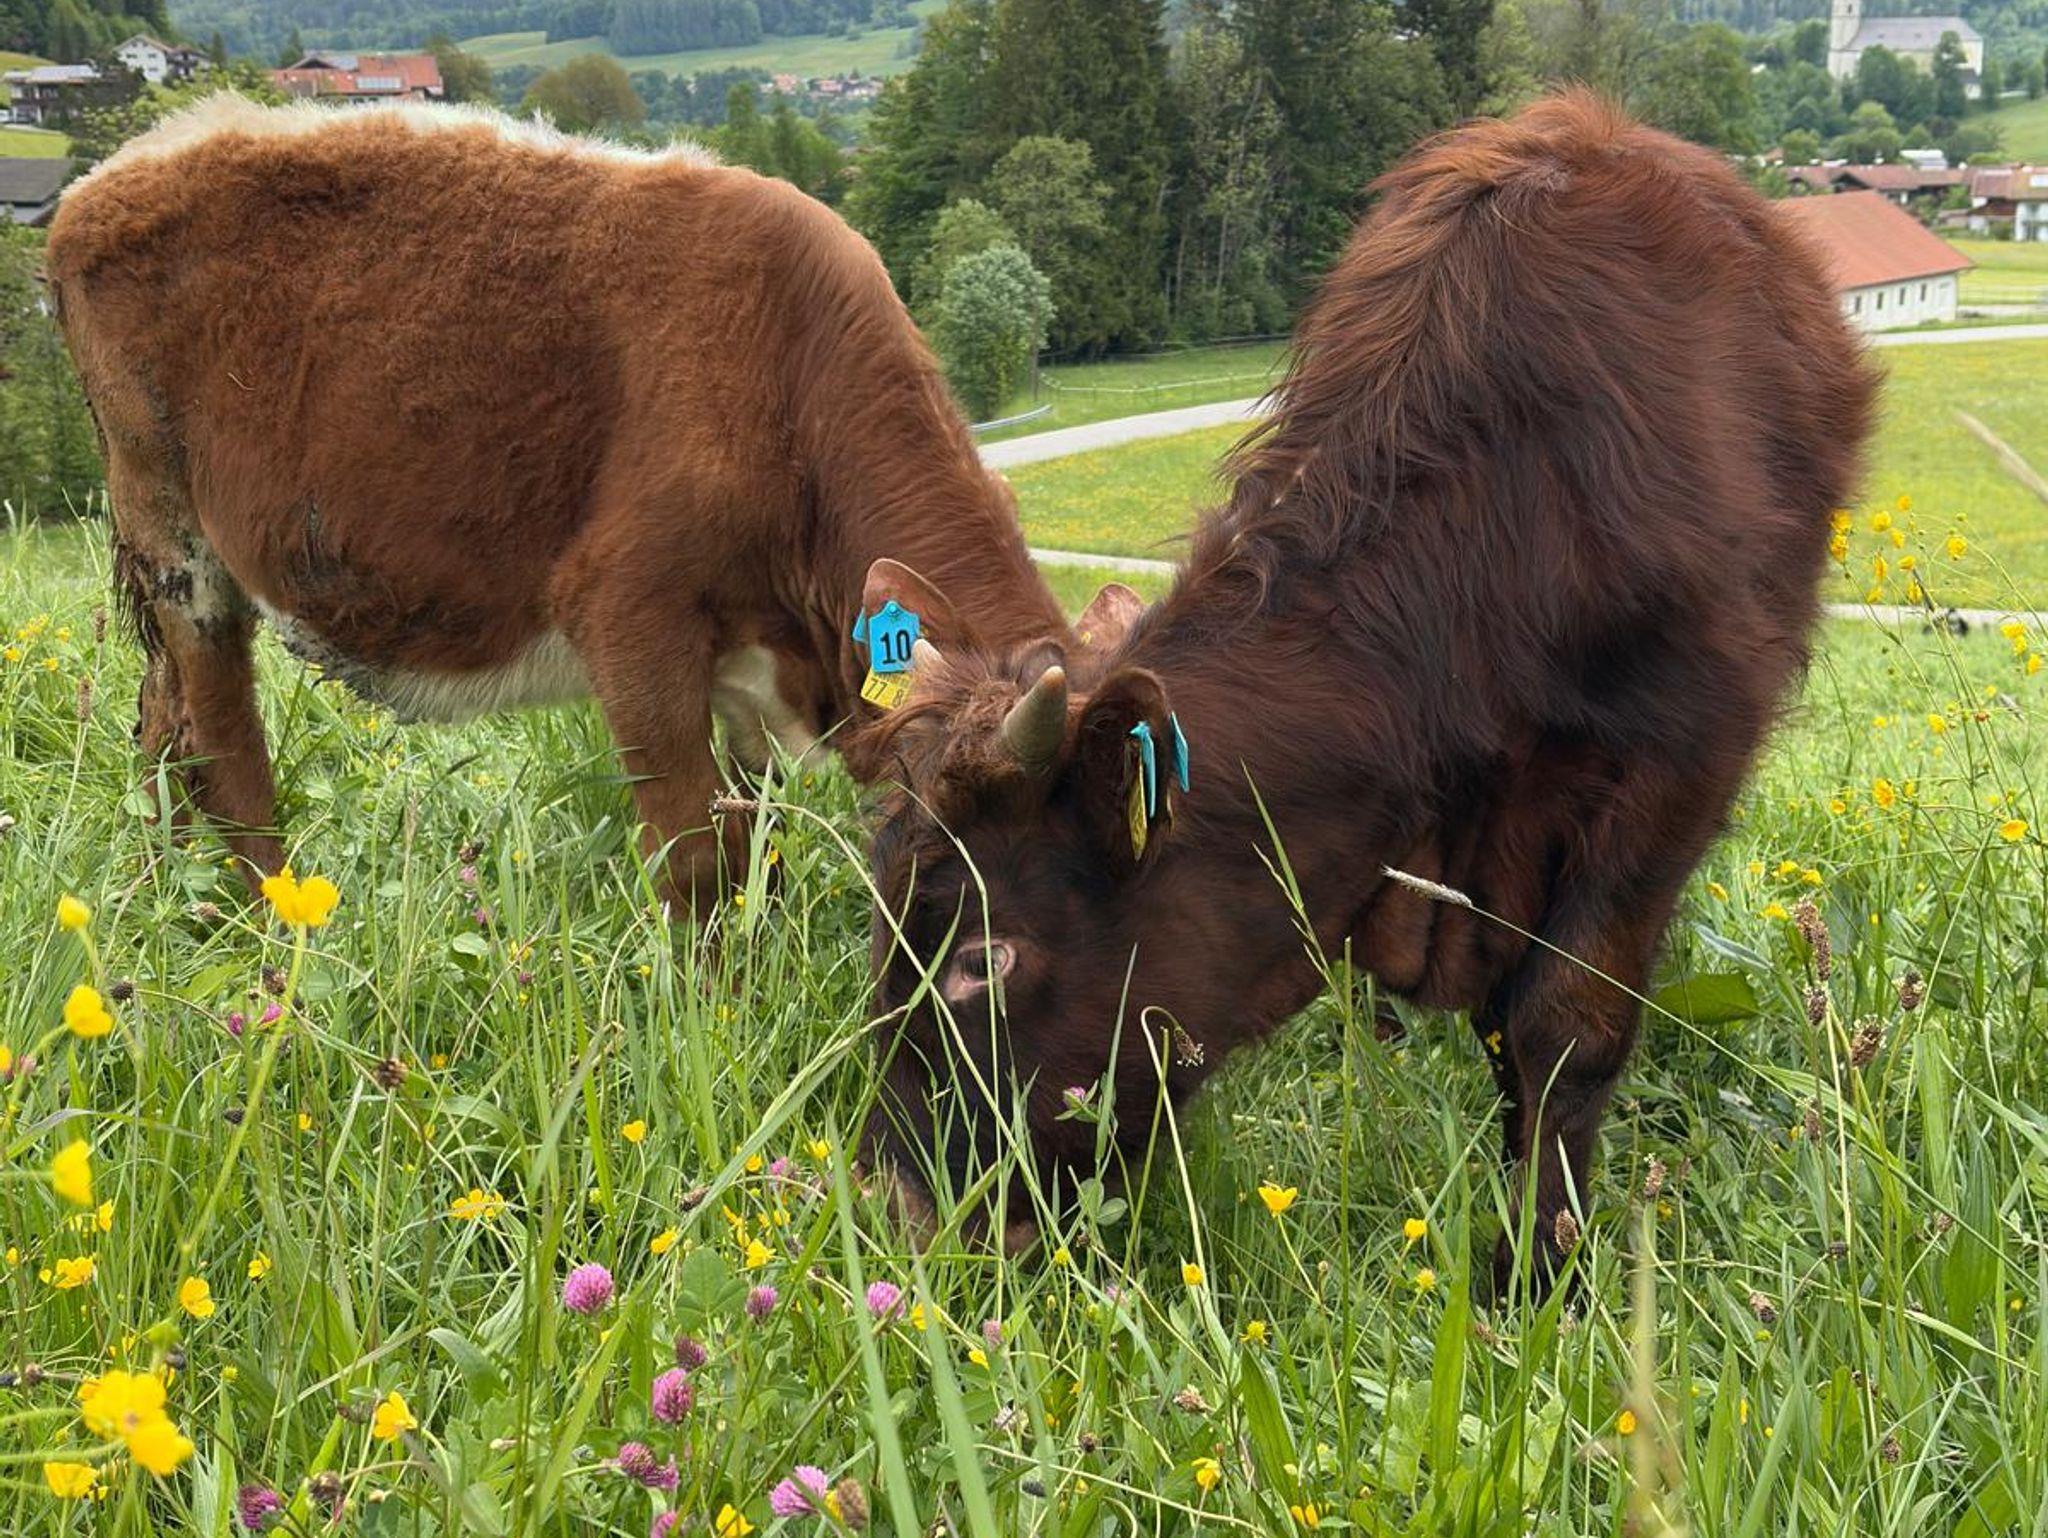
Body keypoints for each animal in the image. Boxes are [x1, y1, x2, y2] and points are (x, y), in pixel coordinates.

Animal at [46, 95, 1074, 911]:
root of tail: (126, 166)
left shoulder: (750, 672)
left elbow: (759, 844)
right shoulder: (631, 616)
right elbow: (697, 854)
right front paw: (707, 1010)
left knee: (162, 723)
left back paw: (174, 899)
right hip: (175, 540)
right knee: (221, 738)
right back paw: (262, 913)